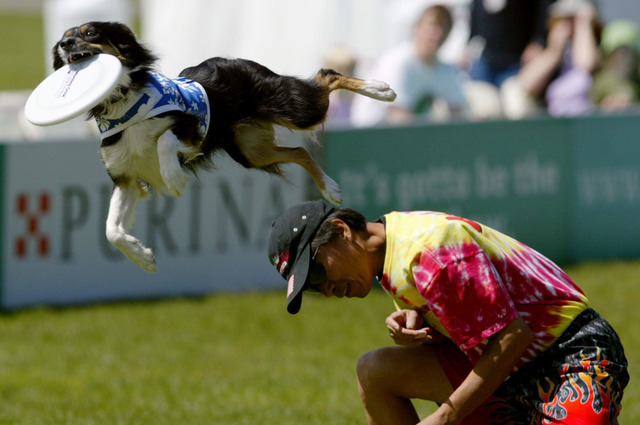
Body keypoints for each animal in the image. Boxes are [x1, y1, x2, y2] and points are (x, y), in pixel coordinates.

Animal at [52, 21, 396, 272]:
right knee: (300, 151)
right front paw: (143, 257)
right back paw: (330, 188)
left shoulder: (192, 128)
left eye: (90, 34)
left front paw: (173, 178)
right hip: (249, 150)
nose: (64, 45)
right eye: (64, 38)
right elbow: (111, 230)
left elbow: (164, 139)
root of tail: (234, 60)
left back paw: (380, 89)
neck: (122, 103)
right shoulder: (125, 178)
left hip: (293, 108)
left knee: (327, 76)